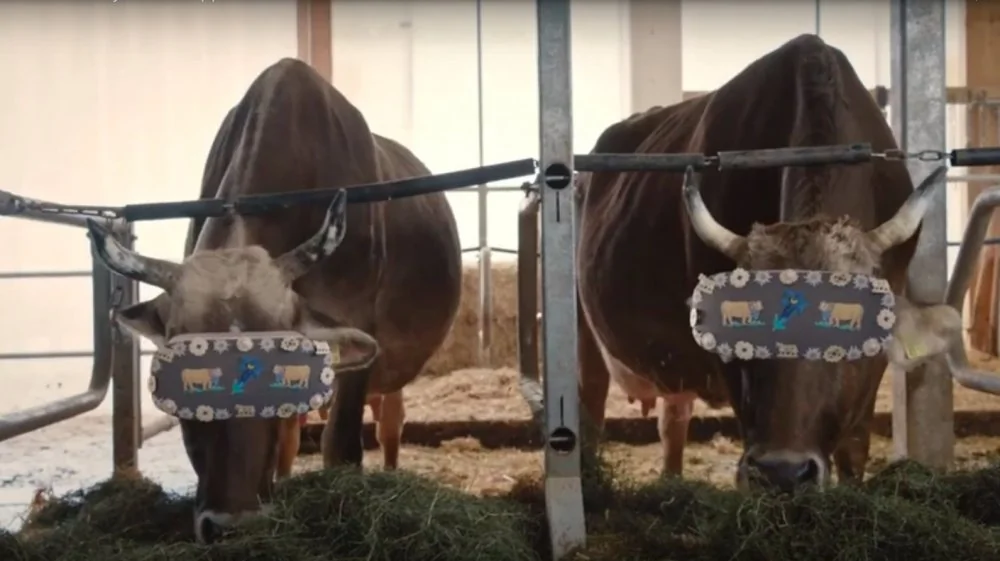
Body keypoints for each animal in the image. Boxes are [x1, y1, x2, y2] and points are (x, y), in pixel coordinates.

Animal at [529, 34, 956, 491]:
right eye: (745, 335)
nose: (782, 471)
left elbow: (853, 450)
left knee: (673, 419)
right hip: (581, 332)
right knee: (589, 412)